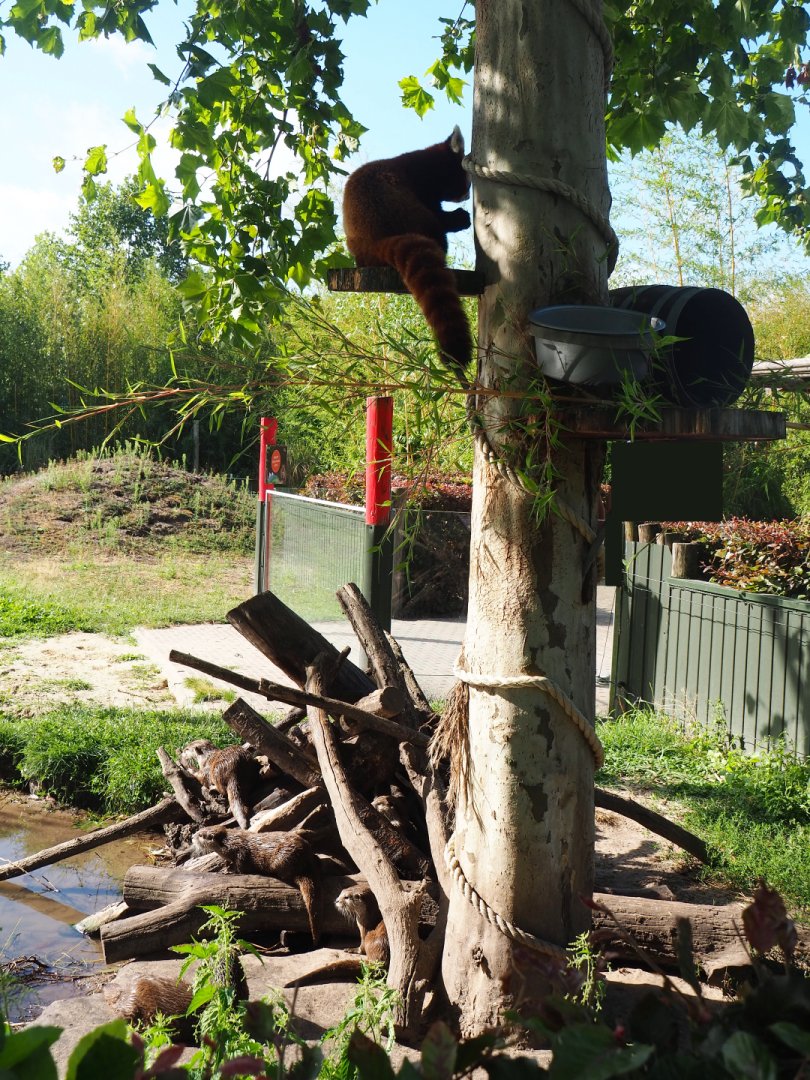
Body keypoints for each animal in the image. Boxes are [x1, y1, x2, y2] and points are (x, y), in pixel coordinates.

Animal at [193, 825, 322, 945]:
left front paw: (227, 871)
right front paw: (226, 865)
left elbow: (240, 867)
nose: (192, 836)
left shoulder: (240, 853)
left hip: (282, 859)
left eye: (201, 835)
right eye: (200, 830)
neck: (228, 843)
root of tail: (304, 863)